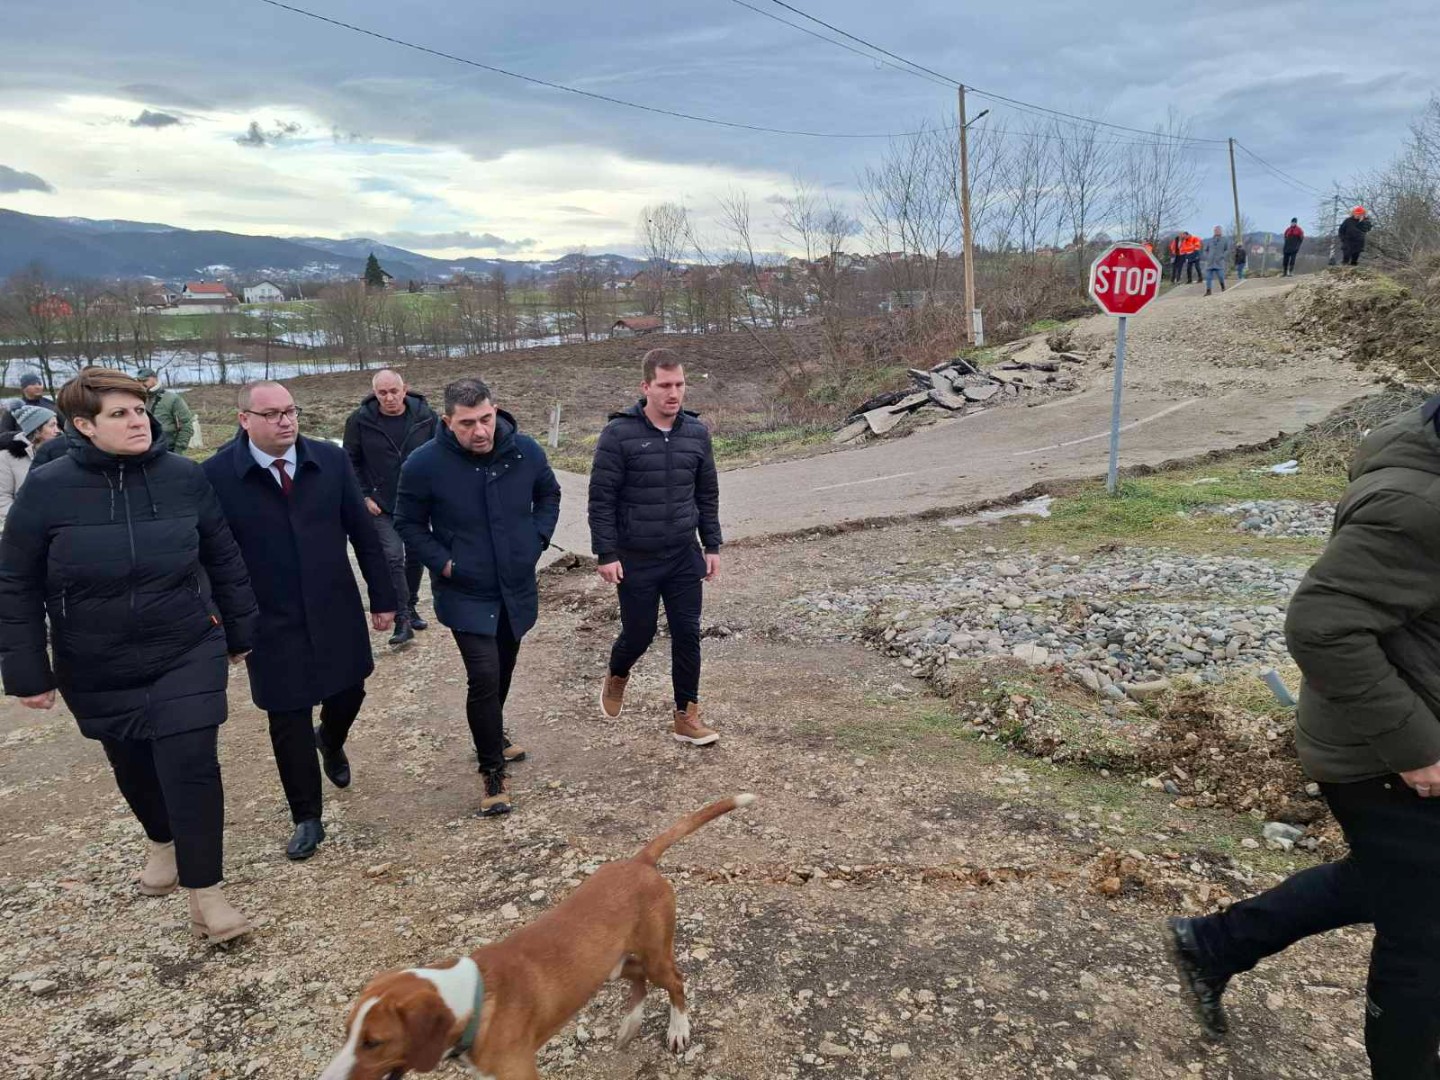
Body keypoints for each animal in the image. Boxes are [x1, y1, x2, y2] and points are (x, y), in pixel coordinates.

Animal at [321, 794, 760, 1080]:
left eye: (373, 1043)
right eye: (347, 1033)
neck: (474, 1000)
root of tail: (639, 861)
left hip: (655, 954)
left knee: (675, 982)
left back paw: (677, 1030)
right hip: (609, 964)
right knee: (637, 980)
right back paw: (629, 1026)